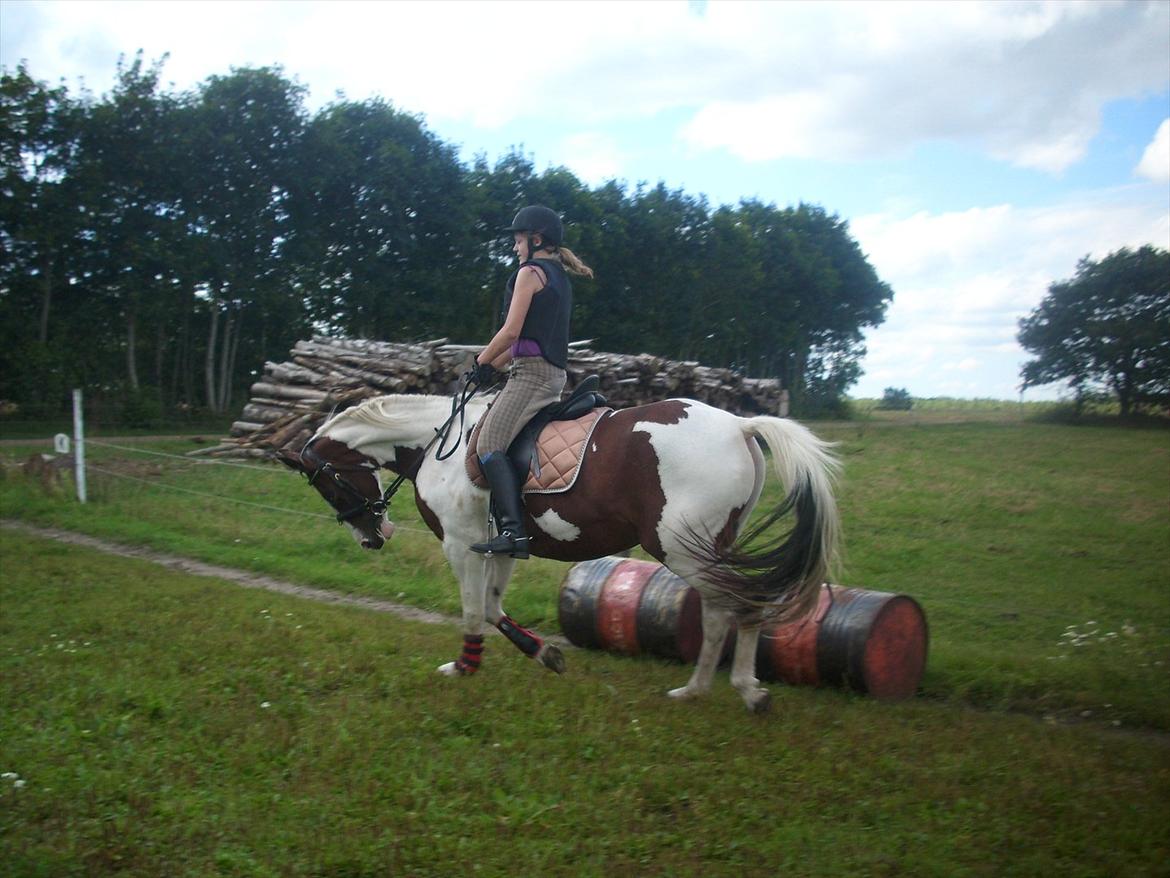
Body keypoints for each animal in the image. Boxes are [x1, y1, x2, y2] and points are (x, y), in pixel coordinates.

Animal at [278, 395, 837, 711]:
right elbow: (493, 608)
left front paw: (463, 668)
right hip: (707, 550)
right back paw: (696, 690)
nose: (372, 538)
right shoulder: (501, 547)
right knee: (722, 614)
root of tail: (739, 426)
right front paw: (543, 653)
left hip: (683, 550)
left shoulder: (461, 544)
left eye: (324, 484)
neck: (440, 441)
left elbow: (473, 610)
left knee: (740, 606)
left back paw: (747, 689)